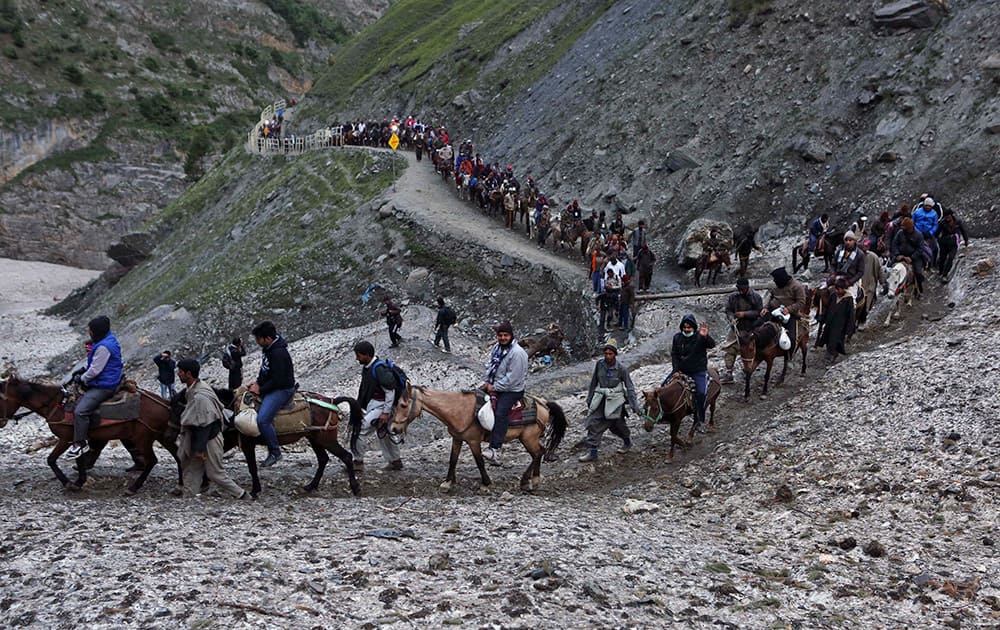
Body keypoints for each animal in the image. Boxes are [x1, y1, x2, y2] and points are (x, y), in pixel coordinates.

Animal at [0, 368, 178, 496]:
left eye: (1, 398)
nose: (1, 422)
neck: (57, 404)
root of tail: (164, 403)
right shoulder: (77, 439)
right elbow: (79, 459)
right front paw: (79, 482)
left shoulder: (65, 438)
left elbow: (51, 460)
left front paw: (68, 483)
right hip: (161, 436)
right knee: (176, 455)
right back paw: (179, 485)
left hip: (143, 439)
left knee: (152, 460)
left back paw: (134, 487)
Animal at [386, 386, 568, 494]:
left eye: (403, 405)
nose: (393, 429)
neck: (458, 409)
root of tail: (543, 403)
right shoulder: (457, 438)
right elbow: (453, 460)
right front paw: (448, 483)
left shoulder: (473, 441)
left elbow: (479, 461)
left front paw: (486, 483)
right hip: (528, 438)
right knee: (539, 452)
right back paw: (527, 481)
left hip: (528, 438)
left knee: (538, 453)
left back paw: (532, 481)